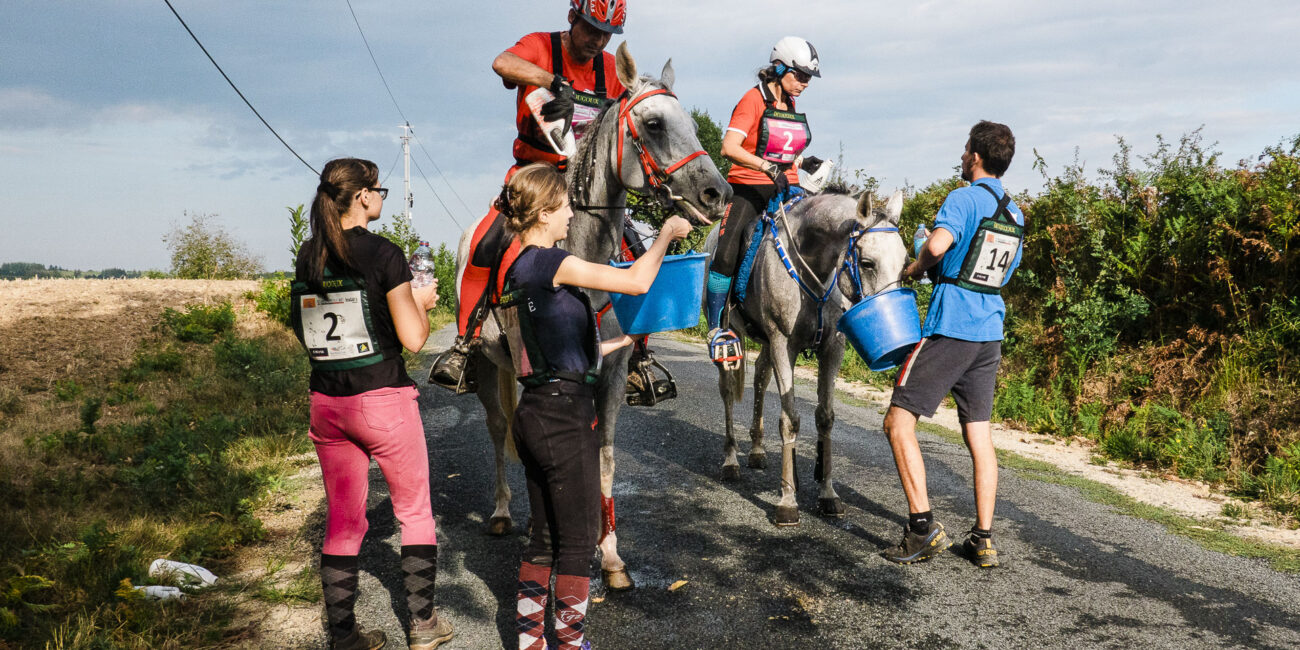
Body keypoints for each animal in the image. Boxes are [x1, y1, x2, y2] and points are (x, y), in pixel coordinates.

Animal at [452, 40, 728, 590]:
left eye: (690, 122)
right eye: (654, 124)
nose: (718, 193)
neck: (579, 256)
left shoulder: (613, 375)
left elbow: (602, 459)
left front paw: (613, 557)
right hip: (489, 366)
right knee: (497, 428)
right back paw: (502, 511)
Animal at [707, 189, 909, 525]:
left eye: (905, 263)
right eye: (867, 263)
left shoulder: (831, 348)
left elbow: (825, 418)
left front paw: (827, 494)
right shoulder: (782, 343)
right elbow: (790, 420)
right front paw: (788, 501)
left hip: (765, 345)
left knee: (760, 378)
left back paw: (757, 450)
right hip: (731, 337)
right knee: (726, 390)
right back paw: (730, 460)